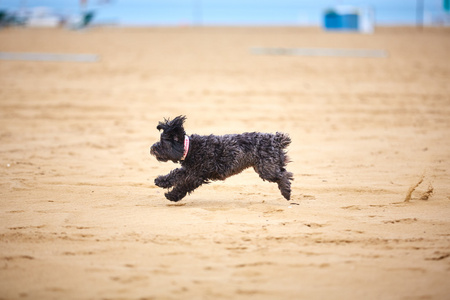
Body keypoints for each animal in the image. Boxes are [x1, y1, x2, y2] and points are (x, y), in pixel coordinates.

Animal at [149, 116, 294, 203]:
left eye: (162, 143)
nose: (152, 148)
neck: (190, 148)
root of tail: (276, 140)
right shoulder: (190, 171)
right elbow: (176, 177)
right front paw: (163, 183)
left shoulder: (195, 174)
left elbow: (180, 182)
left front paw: (170, 193)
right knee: (284, 172)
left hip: (266, 168)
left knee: (284, 175)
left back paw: (286, 192)